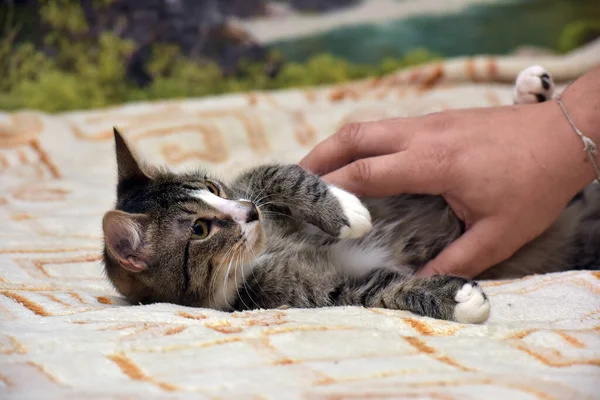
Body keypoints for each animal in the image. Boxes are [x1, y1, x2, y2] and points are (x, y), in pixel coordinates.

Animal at [101, 65, 596, 322]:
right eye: (201, 230)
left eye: (212, 187)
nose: (248, 214)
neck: (264, 251)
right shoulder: (312, 291)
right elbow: (377, 291)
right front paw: (456, 298)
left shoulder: (257, 184)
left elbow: (284, 173)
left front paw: (344, 209)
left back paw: (531, 91)